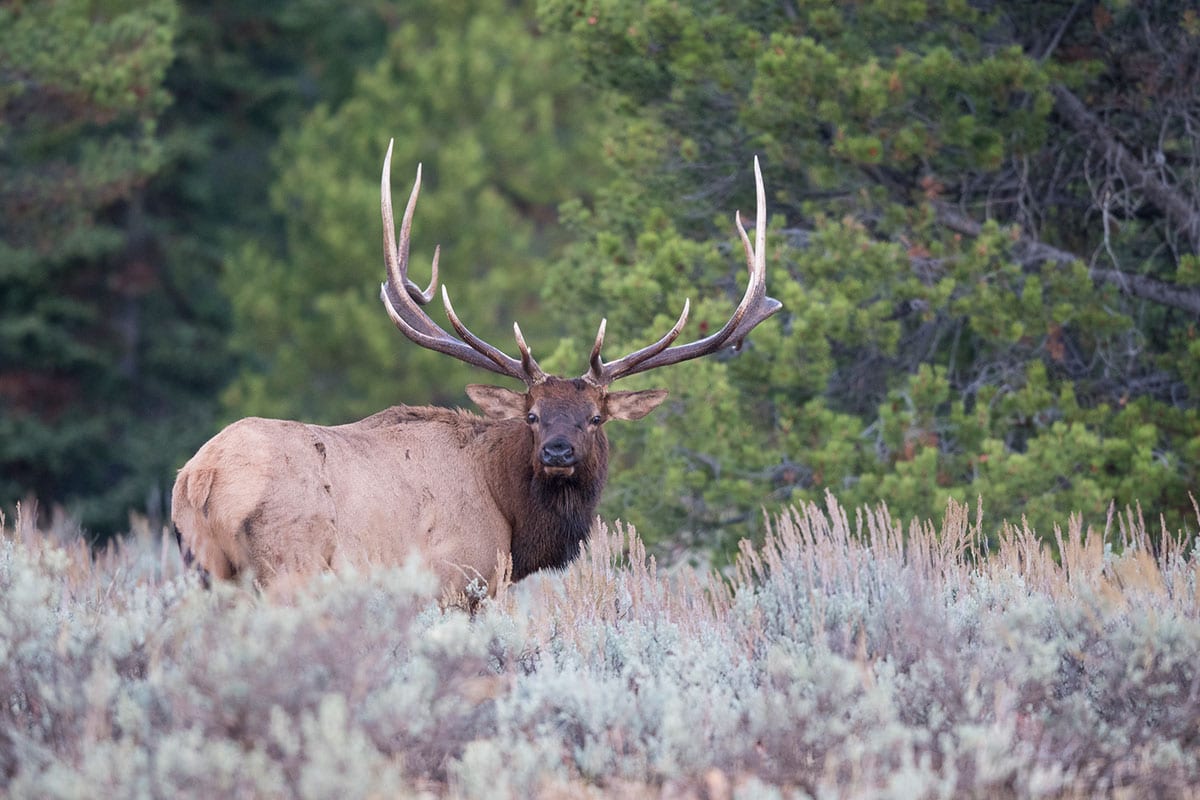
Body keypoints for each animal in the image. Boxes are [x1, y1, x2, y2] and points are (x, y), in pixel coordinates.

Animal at [171, 141, 781, 595]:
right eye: (532, 416)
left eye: (595, 417)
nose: (558, 452)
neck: (511, 520)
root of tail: (200, 478)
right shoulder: (459, 577)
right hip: (286, 565)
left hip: (207, 571)